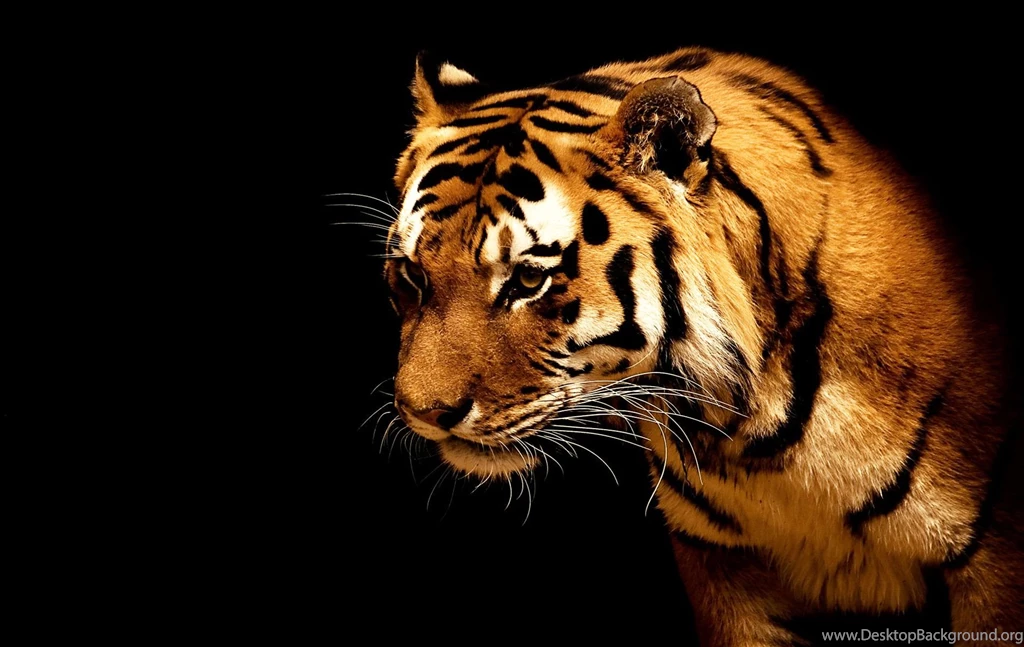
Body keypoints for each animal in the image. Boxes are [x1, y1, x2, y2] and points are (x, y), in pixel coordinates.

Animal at [381, 47, 1022, 645]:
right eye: (411, 275)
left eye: (528, 279)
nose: (424, 413)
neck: (750, 434)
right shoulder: (723, 563)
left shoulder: (992, 559)